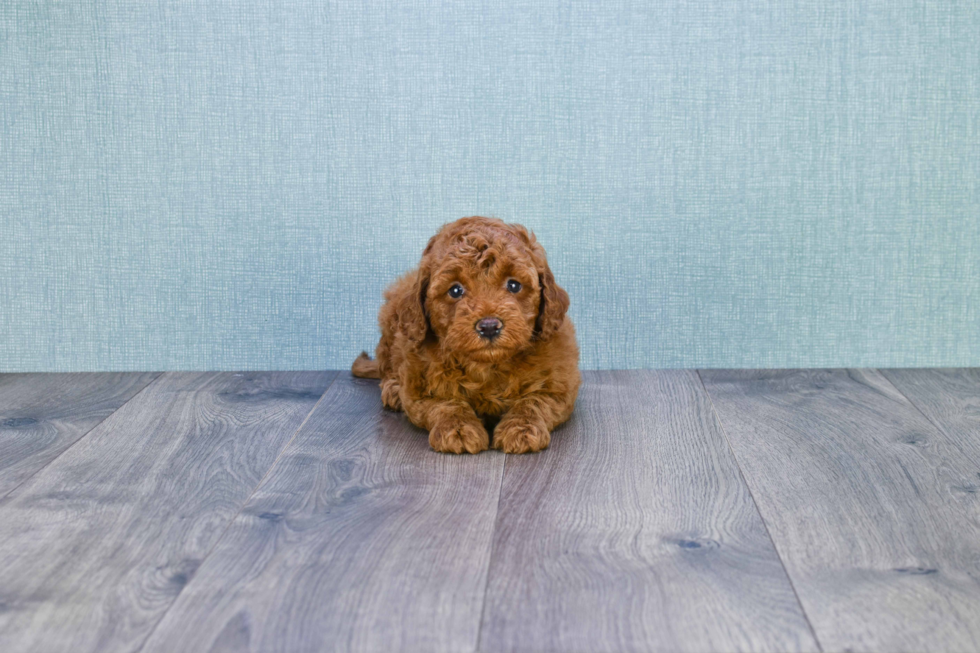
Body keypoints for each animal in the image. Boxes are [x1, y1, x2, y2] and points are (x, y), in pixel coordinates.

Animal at [352, 216, 580, 450]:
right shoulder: (419, 387)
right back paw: (393, 389)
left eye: (514, 285)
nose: (489, 326)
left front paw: (521, 429)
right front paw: (458, 429)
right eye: (455, 290)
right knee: (386, 367)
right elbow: (445, 403)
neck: (488, 366)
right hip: (391, 323)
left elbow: (534, 401)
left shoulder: (559, 385)